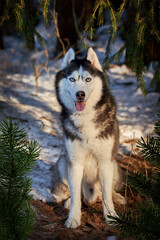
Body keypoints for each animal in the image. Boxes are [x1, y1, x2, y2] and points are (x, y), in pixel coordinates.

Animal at [53, 47, 125, 229]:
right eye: (72, 79)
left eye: (88, 79)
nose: (80, 94)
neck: (85, 117)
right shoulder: (75, 161)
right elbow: (76, 195)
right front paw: (73, 218)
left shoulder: (105, 161)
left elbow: (107, 196)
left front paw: (111, 216)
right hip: (63, 163)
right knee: (77, 193)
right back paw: (69, 201)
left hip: (114, 166)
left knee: (108, 191)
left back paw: (117, 197)